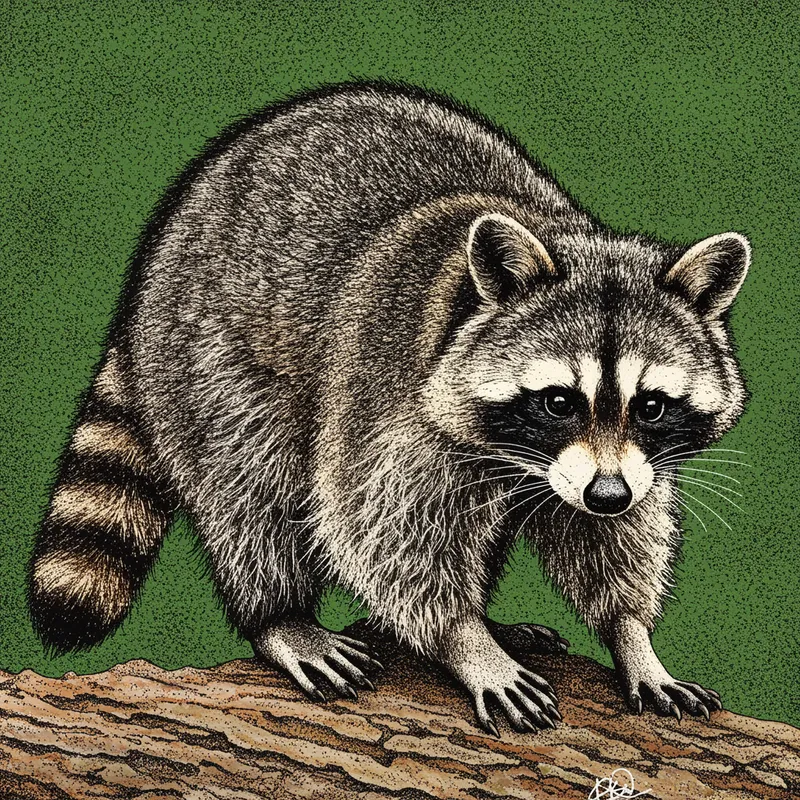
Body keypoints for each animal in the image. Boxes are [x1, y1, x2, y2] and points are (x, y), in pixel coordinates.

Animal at [28, 82, 749, 734]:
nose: (606, 494)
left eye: (651, 405)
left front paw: (632, 638)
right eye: (558, 402)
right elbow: (379, 531)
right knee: (252, 483)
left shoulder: (623, 464)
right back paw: (280, 616)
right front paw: (466, 642)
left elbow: (609, 536)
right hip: (208, 355)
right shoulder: (385, 396)